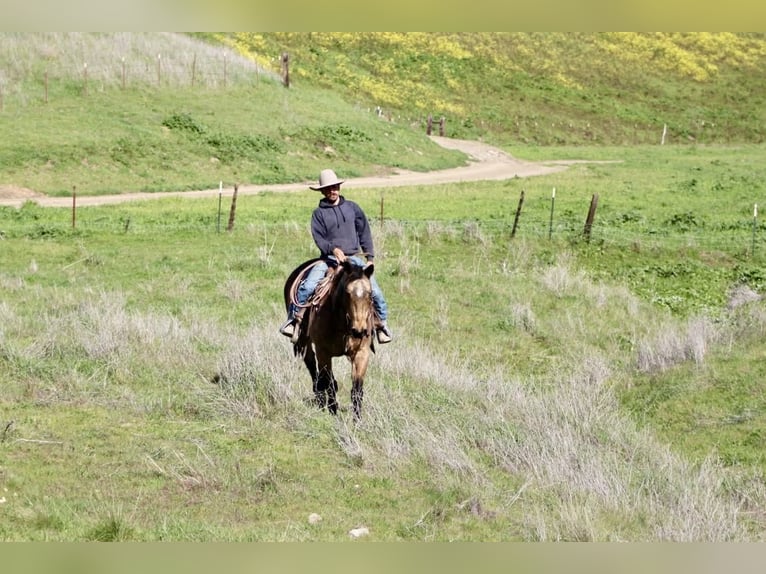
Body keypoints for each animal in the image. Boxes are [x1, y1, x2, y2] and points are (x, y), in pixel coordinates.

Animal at [283, 258, 377, 419]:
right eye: (347, 293)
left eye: (370, 293)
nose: (359, 330)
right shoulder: (323, 351)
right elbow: (328, 383)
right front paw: (333, 411)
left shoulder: (362, 352)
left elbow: (357, 389)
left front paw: (357, 419)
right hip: (303, 341)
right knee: (313, 367)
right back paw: (321, 399)